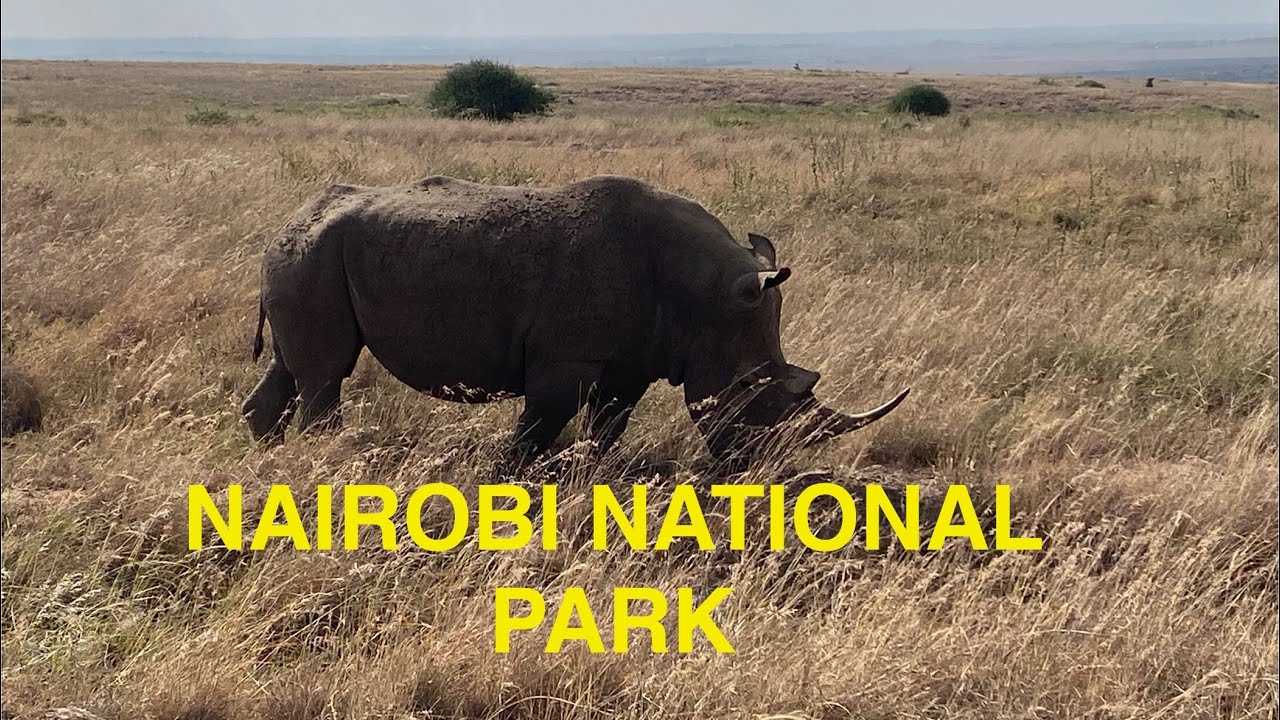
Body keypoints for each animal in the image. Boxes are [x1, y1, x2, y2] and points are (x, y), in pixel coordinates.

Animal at [242, 175, 907, 466]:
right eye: (749, 387)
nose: (754, 469)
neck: (705, 292)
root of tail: (288, 219)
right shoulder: (567, 354)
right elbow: (537, 427)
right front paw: (510, 482)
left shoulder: (637, 355)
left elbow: (609, 424)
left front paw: (593, 473)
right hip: (311, 256)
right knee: (326, 373)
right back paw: (331, 463)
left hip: (303, 256)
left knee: (291, 367)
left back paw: (268, 460)